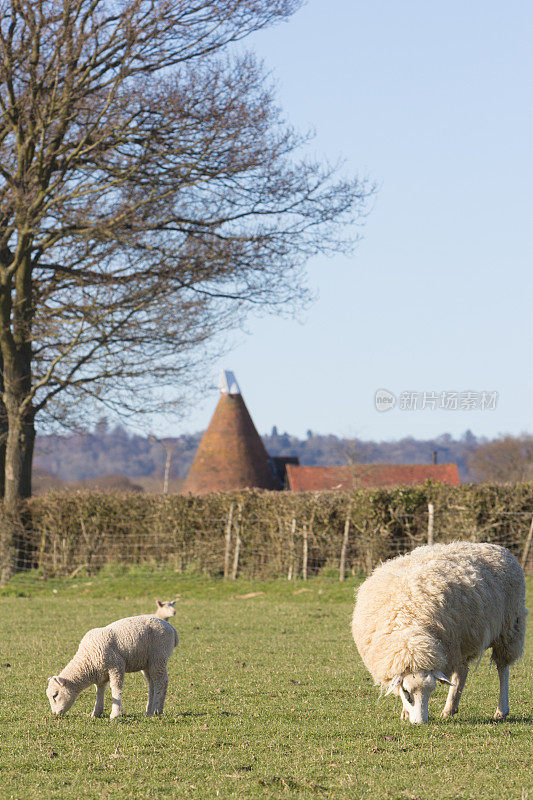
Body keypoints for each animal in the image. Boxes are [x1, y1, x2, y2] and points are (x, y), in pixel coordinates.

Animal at [46, 616, 179, 720]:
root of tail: (171, 628)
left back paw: (157, 709)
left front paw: (116, 714)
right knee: (152, 683)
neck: (88, 660)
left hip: (159, 656)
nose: (55, 714)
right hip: (148, 662)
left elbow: (115, 688)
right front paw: (96, 712)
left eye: (55, 695)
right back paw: (149, 711)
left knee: (161, 682)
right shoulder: (100, 674)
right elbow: (99, 691)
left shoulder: (116, 665)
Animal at [352, 544, 524, 724]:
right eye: (406, 691)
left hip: (510, 627)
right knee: (462, 672)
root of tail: (499, 548)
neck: (409, 631)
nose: (420, 723)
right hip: (461, 641)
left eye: (431, 690)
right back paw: (450, 708)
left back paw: (501, 710)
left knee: (502, 669)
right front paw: (405, 712)